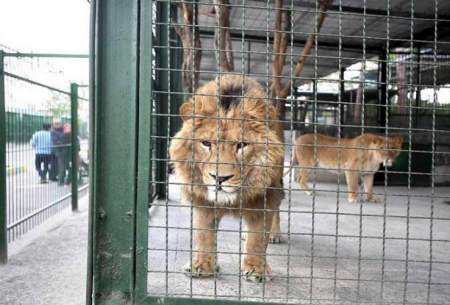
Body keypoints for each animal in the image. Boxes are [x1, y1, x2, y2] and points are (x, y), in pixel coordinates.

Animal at [169, 73, 284, 280]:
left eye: (241, 145)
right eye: (206, 143)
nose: (219, 179)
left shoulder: (266, 195)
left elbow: (258, 236)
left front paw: (256, 268)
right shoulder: (202, 199)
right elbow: (204, 233)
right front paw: (202, 265)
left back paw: (274, 234)